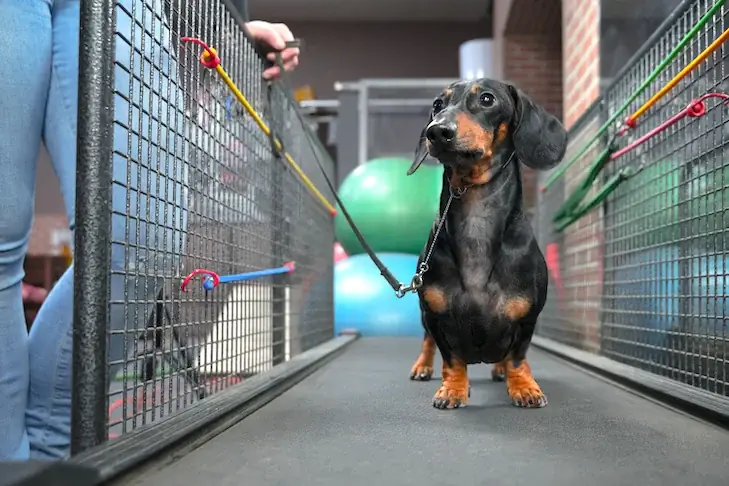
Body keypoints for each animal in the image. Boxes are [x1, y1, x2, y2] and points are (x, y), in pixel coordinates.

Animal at [406, 79, 564, 410]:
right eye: (438, 104)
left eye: (487, 99)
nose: (437, 131)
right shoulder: (436, 317)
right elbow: (451, 359)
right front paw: (452, 388)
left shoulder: (527, 319)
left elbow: (518, 357)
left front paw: (523, 387)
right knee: (427, 342)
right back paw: (424, 367)